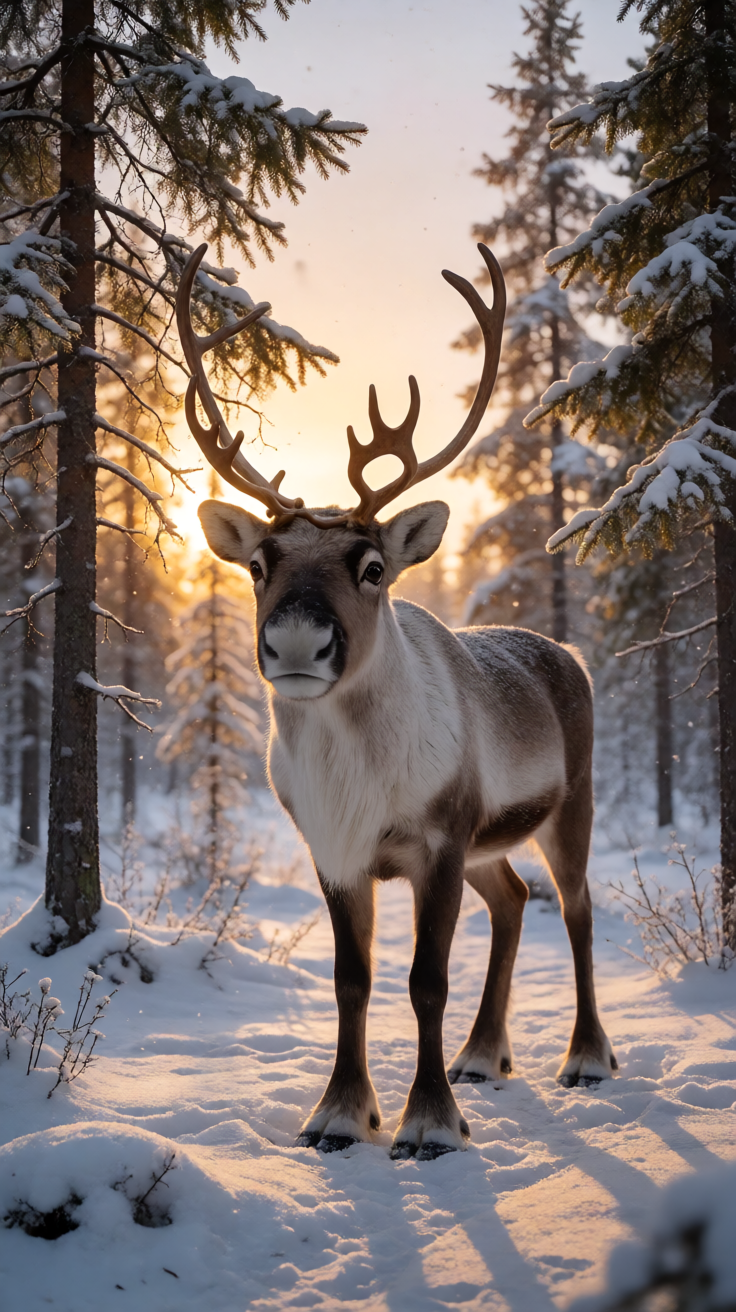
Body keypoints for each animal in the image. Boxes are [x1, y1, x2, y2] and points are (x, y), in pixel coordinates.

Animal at [176, 243, 617, 1162]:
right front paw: (341, 1114)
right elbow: (354, 979)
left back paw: (586, 1058)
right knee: (514, 901)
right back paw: (483, 1056)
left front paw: (430, 1122)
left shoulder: (438, 841)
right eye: (258, 564)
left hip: (572, 804)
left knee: (577, 908)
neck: (356, 786)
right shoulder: (336, 853)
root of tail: (568, 653)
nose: (295, 643)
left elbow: (425, 980)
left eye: (372, 566)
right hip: (492, 842)